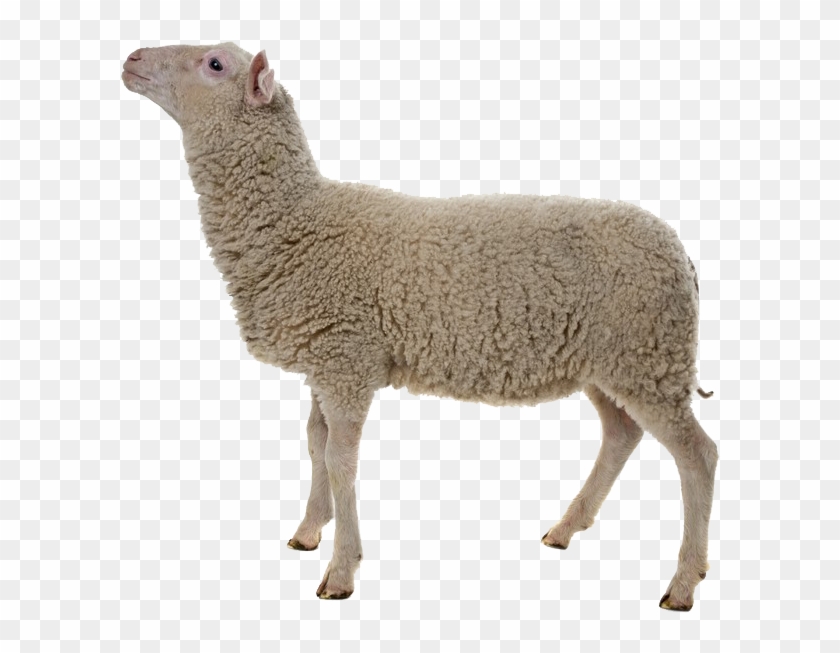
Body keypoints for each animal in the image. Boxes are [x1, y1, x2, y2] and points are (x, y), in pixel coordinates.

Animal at [122, 42, 718, 611]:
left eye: (215, 64)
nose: (131, 60)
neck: (299, 220)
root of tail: (682, 256)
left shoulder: (348, 359)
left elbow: (341, 460)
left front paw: (341, 572)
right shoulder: (324, 356)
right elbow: (315, 444)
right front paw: (310, 530)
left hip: (649, 353)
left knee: (698, 457)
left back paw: (683, 583)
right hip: (612, 362)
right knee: (621, 434)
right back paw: (567, 528)